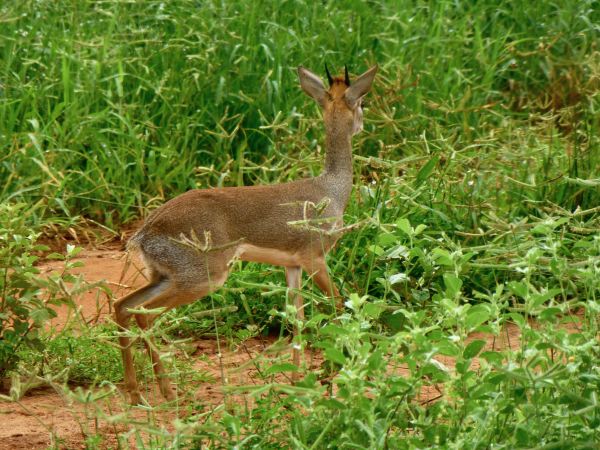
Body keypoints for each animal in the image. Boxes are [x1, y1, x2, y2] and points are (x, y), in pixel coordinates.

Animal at [115, 63, 378, 404]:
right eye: (362, 103)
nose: (362, 125)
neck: (331, 189)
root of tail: (144, 233)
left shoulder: (292, 265)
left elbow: (296, 317)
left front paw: (297, 378)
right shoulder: (315, 259)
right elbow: (337, 305)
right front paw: (334, 371)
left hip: (162, 276)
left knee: (122, 306)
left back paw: (135, 393)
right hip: (202, 279)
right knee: (144, 314)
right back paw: (168, 392)